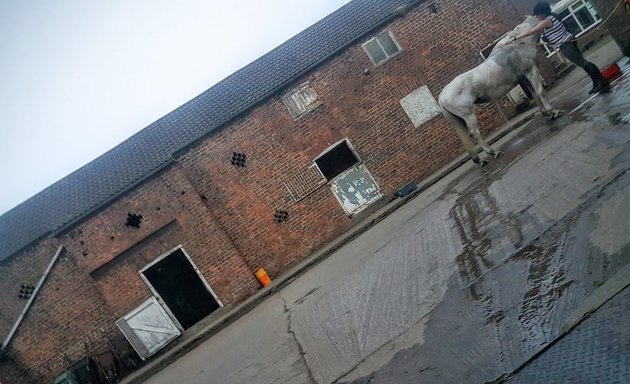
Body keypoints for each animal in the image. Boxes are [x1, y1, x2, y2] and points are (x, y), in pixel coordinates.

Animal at [440, 15, 564, 166]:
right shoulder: (531, 71)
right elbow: (540, 91)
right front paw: (554, 111)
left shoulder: (524, 78)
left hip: (459, 120)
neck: (518, 44)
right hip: (468, 115)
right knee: (475, 133)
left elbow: (534, 94)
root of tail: (442, 95)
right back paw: (493, 152)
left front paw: (545, 112)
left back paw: (480, 160)